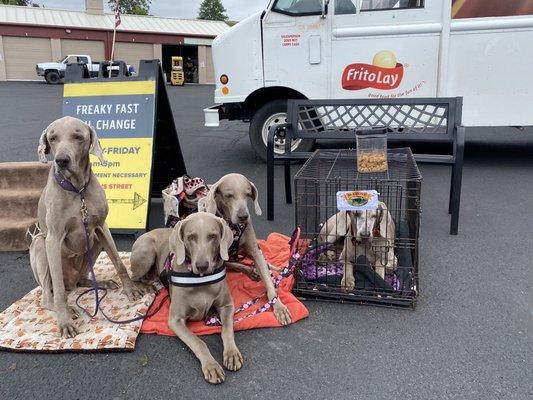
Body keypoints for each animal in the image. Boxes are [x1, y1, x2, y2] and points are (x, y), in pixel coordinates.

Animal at [28, 116, 141, 338]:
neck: (77, 190)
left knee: (81, 280)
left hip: (93, 244)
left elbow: (119, 262)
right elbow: (59, 291)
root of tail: (72, 283)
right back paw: (66, 307)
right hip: (39, 244)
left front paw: (131, 290)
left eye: (78, 137)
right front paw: (64, 322)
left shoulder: (102, 226)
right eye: (52, 138)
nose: (61, 160)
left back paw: (100, 283)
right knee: (50, 294)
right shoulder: (53, 238)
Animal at [198, 173, 290, 326]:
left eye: (247, 194)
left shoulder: (255, 252)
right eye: (229, 195)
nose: (243, 217)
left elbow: (269, 282)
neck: (233, 227)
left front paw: (279, 307)